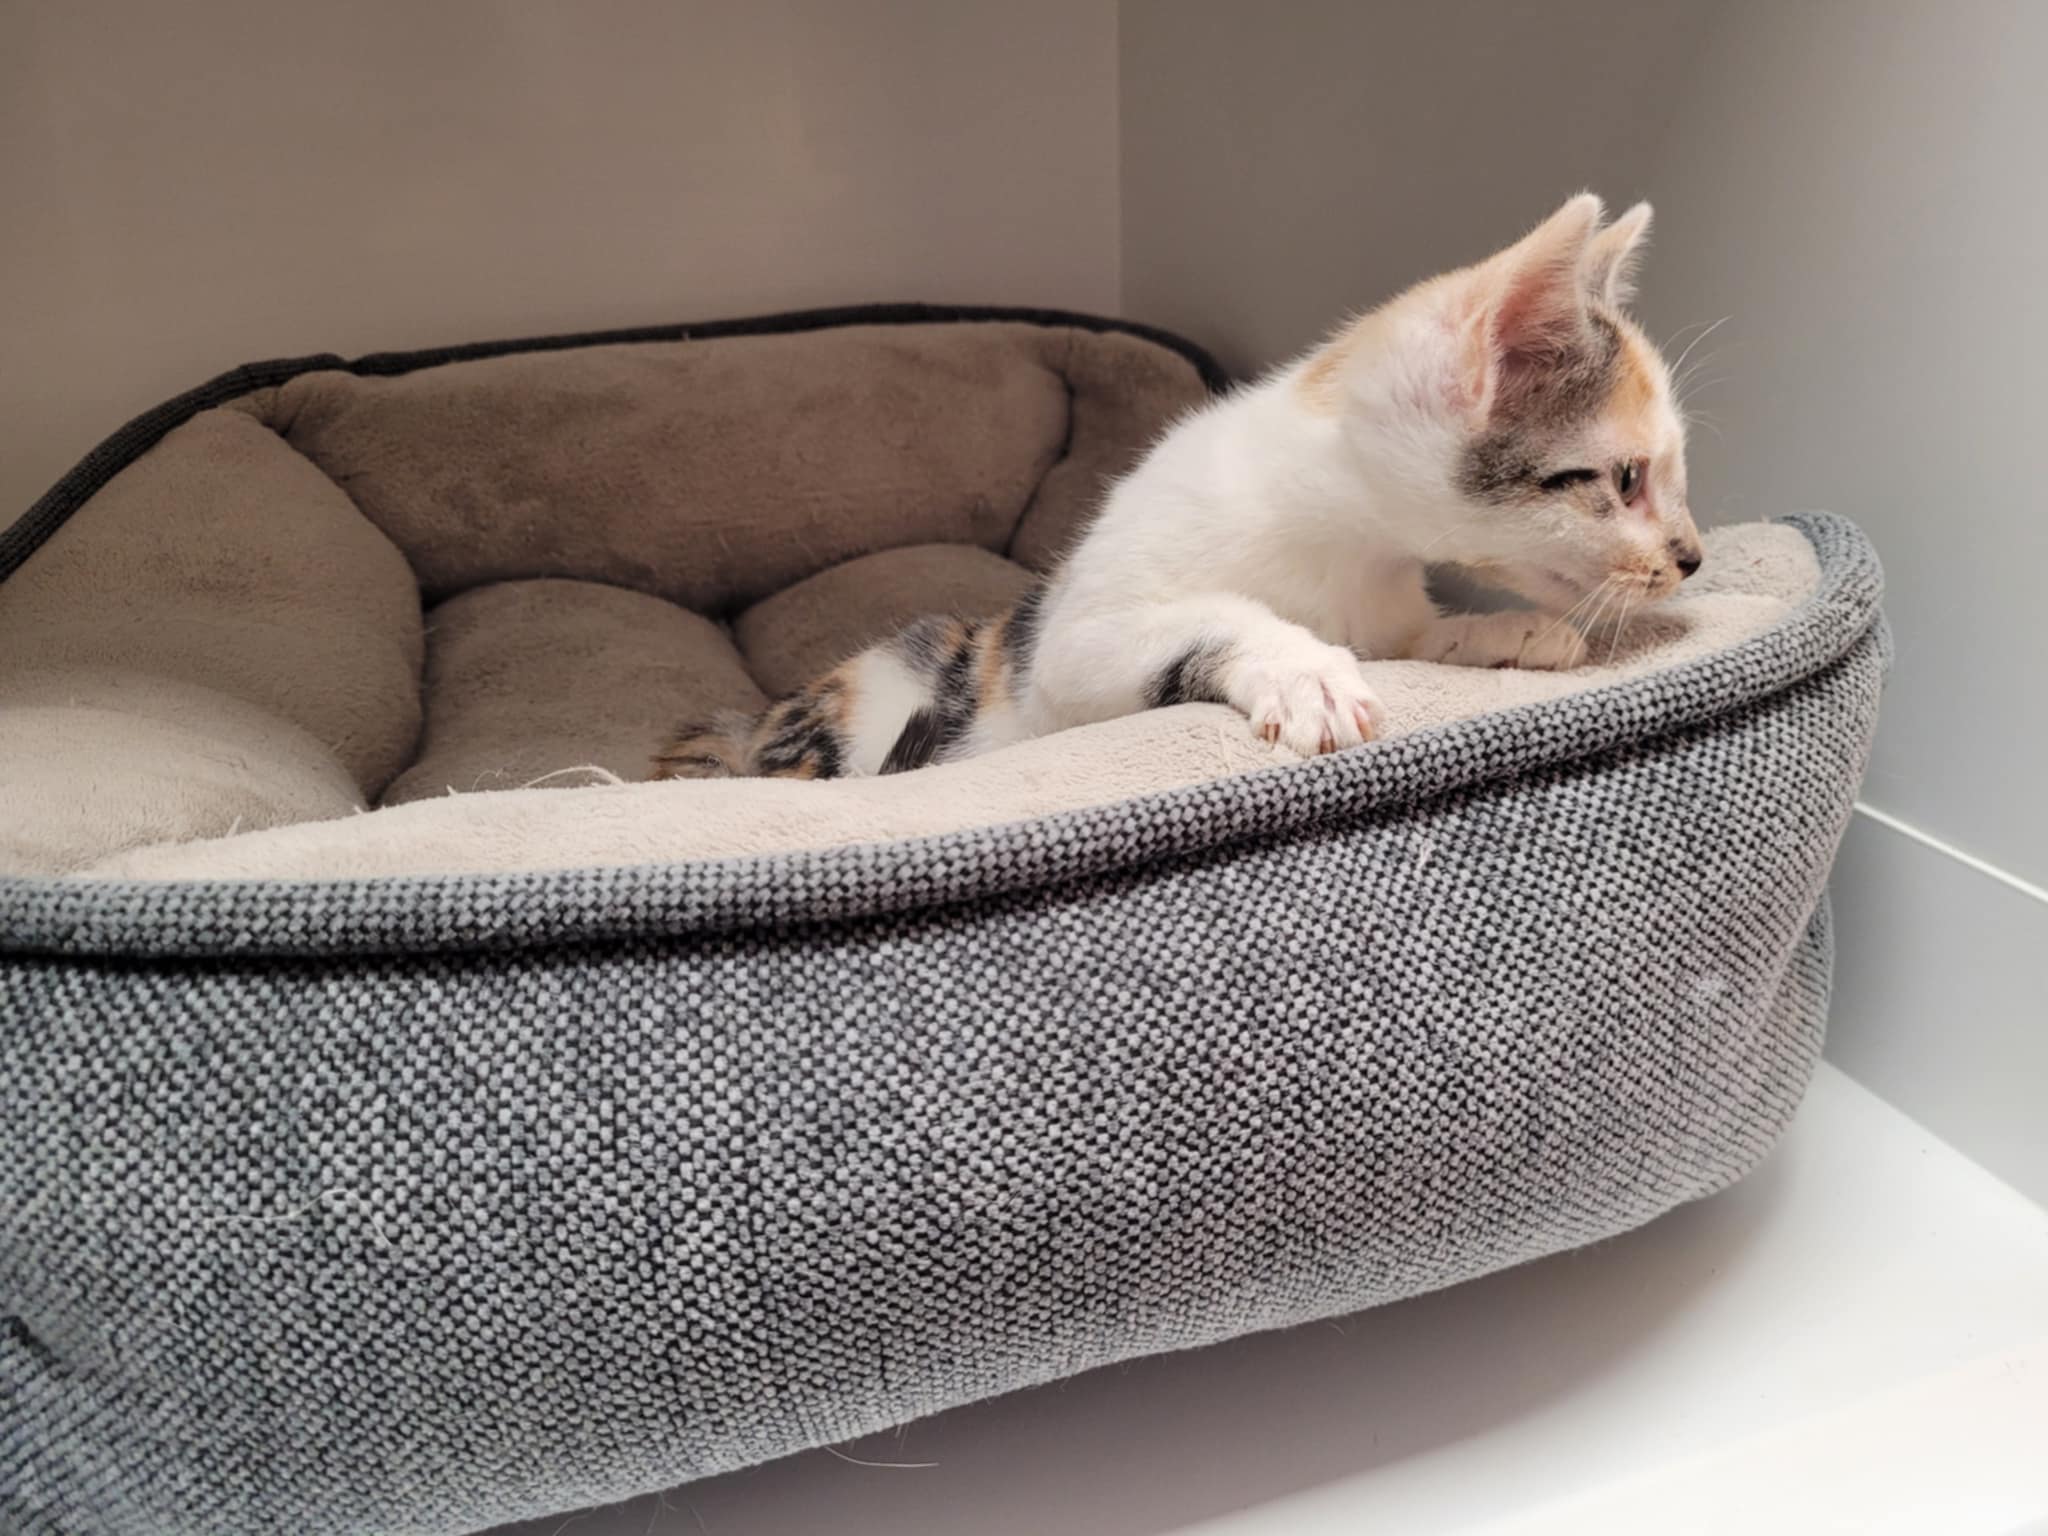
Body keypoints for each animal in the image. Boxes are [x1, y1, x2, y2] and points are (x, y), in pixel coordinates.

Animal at [653, 192, 1701, 782]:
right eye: (1625, 480)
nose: (1691, 557)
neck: (1339, 549)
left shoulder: (1385, 609)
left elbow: (1413, 639)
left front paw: (1499, 631)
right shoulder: (1073, 647)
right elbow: (1210, 617)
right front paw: (1306, 669)